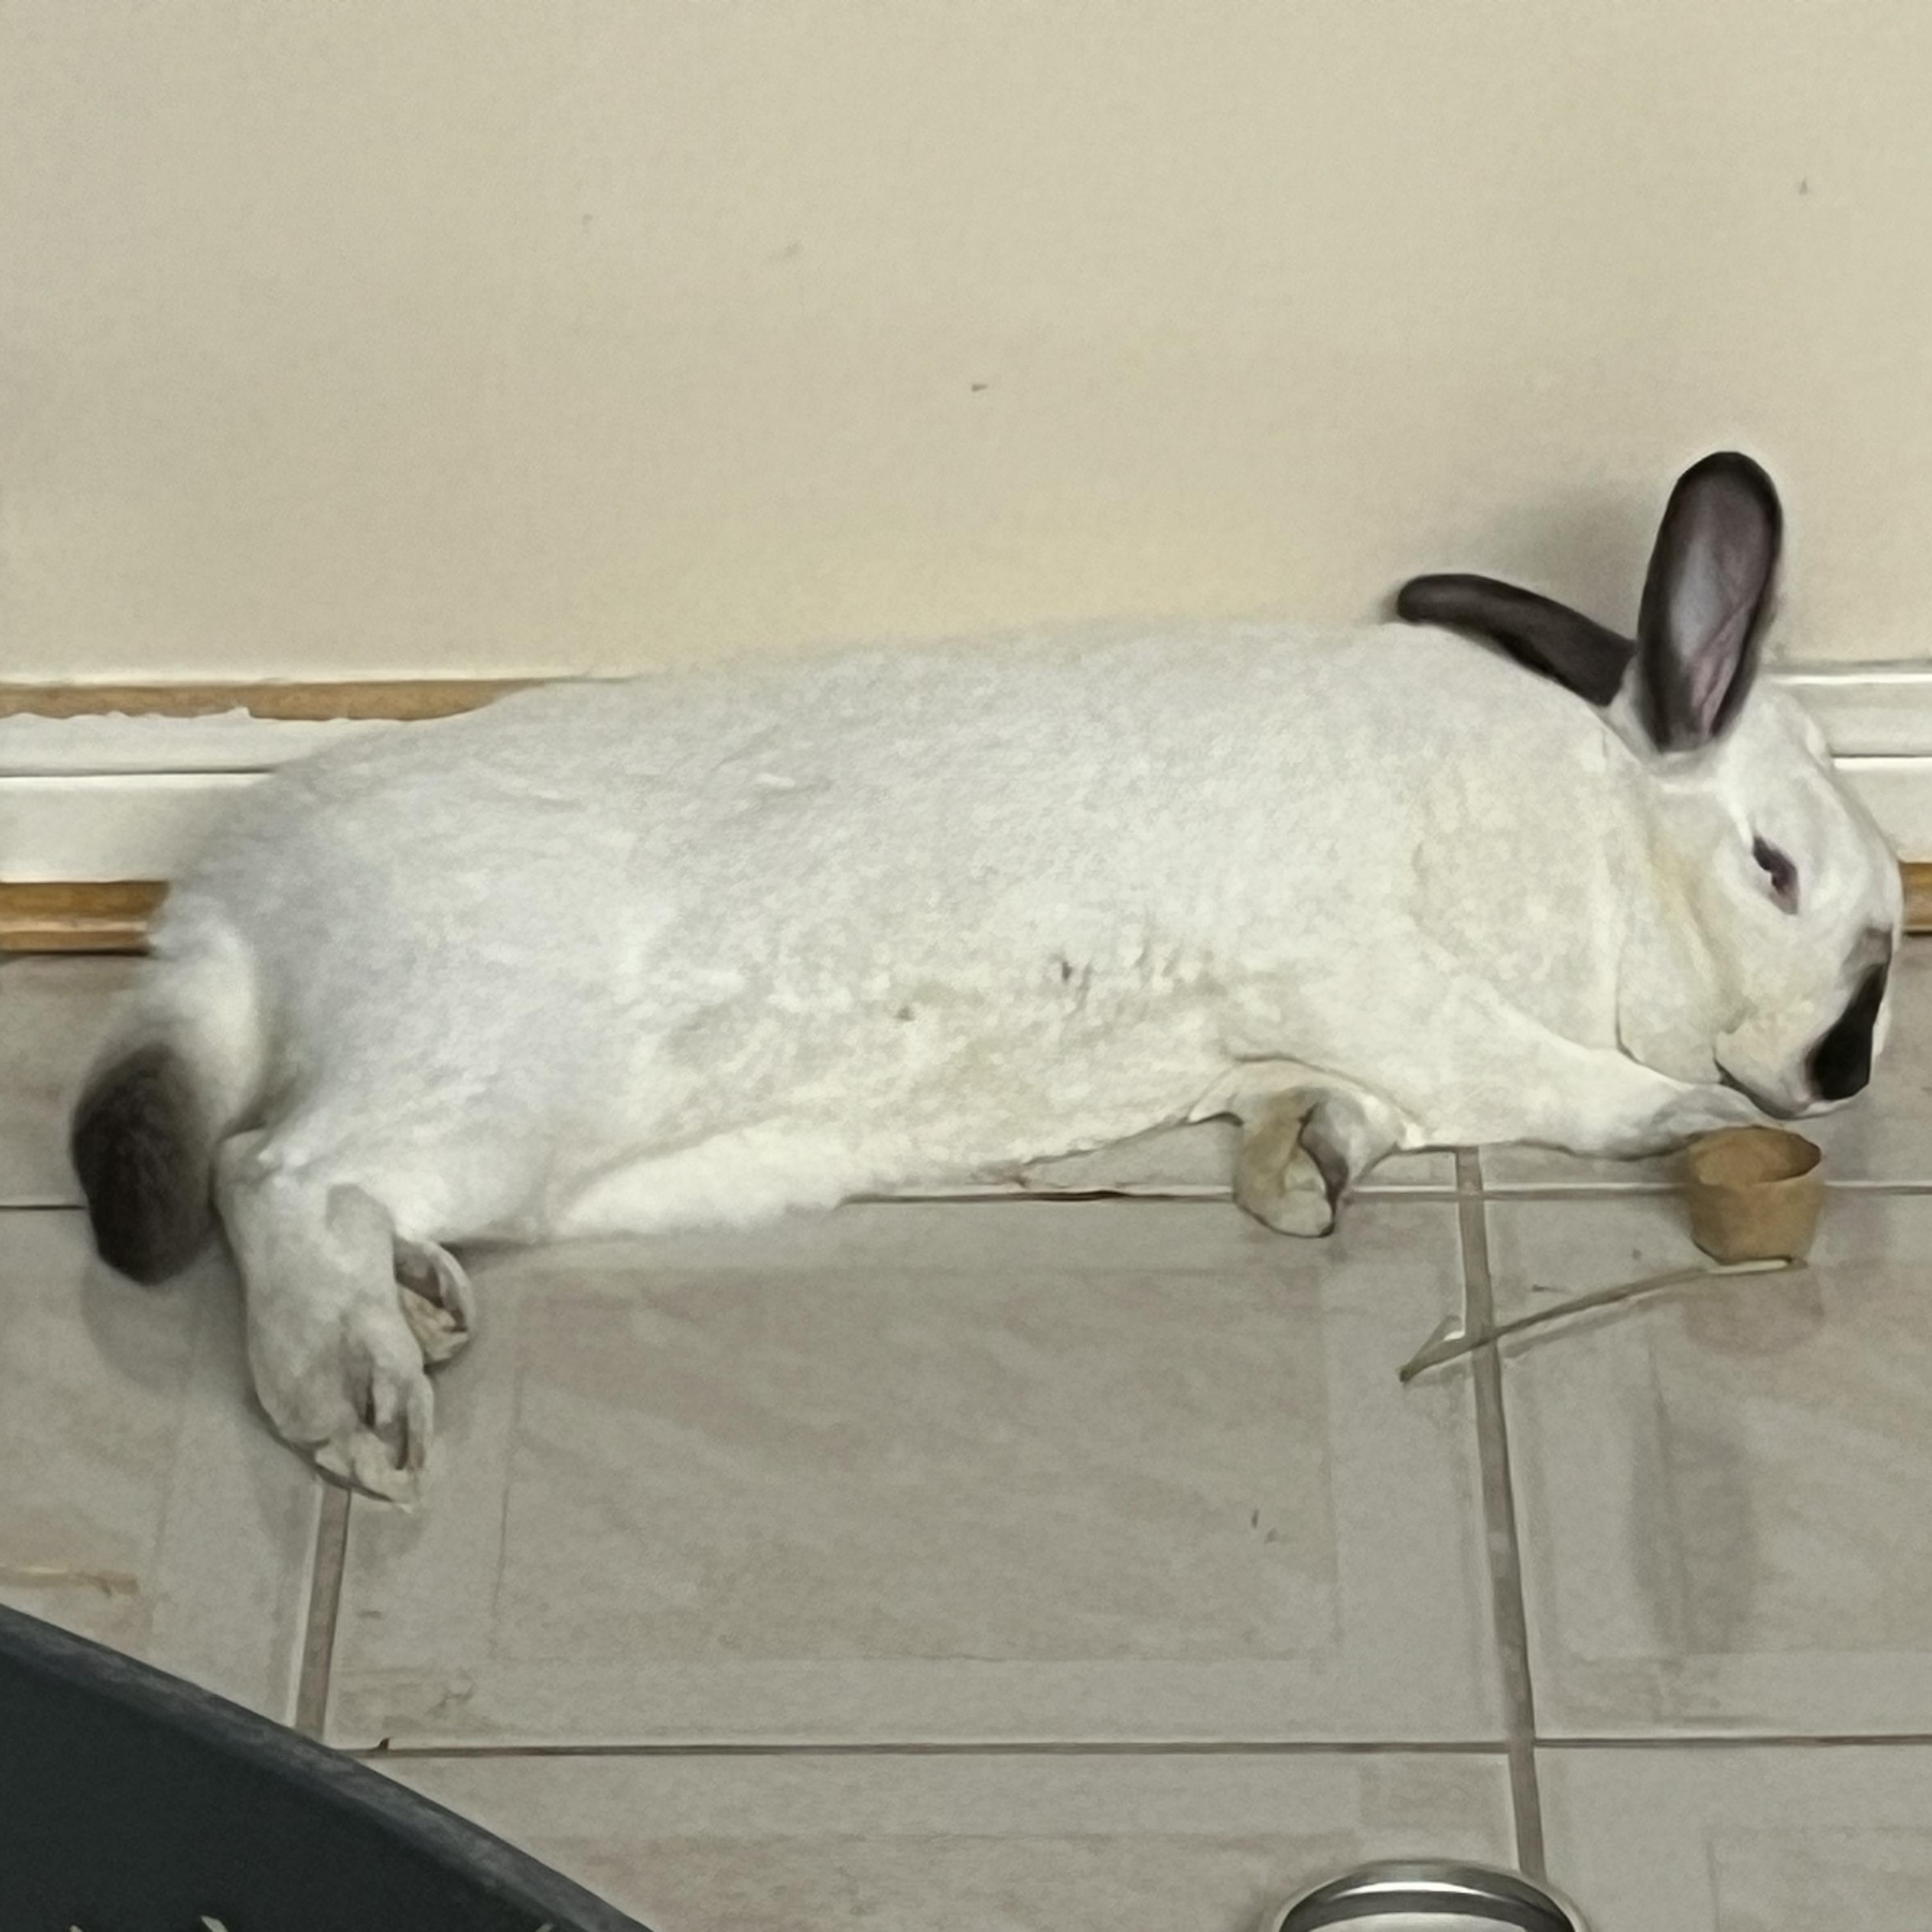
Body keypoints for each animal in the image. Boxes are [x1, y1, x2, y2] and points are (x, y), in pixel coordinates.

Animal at [70, 451, 1901, 1501]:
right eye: (1777, 870)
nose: (1847, 1071)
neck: (1588, 829)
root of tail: (228, 913)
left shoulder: (1348, 1041)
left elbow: (1348, 1112)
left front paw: (1300, 1177)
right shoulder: (1384, 974)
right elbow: (1553, 1082)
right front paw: (1681, 1122)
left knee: (334, 1192)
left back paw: (422, 1308)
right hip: (485, 1083)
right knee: (271, 1172)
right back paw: (358, 1402)